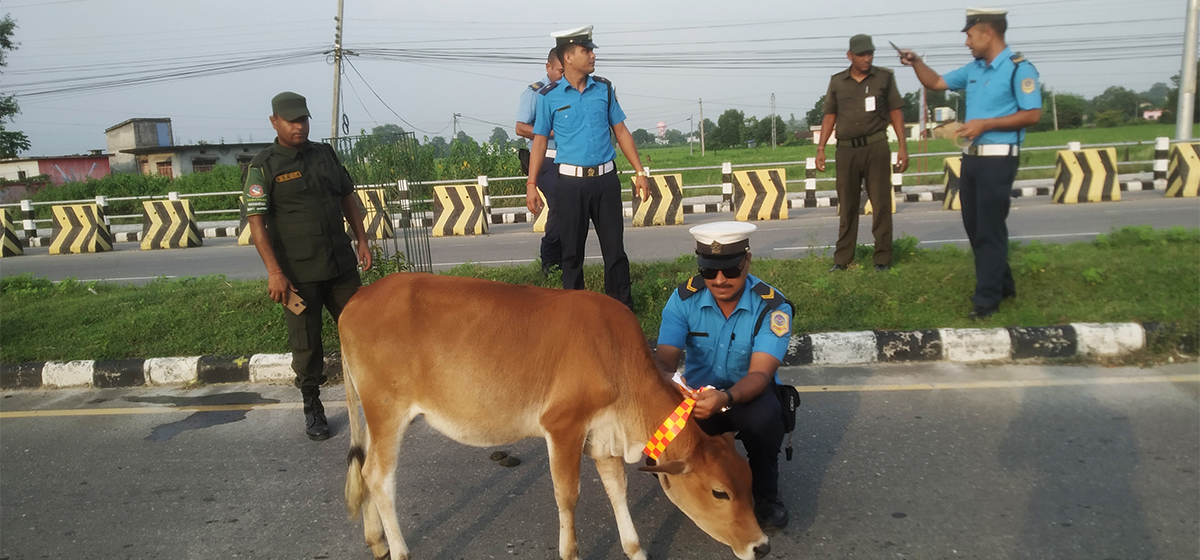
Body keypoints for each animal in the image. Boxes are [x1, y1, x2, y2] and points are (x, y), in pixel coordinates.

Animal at [340, 274, 768, 558]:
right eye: (719, 492)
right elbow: (568, 495)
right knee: (378, 477)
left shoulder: (604, 436)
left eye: (748, 480)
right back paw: (398, 550)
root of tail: (358, 298)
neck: (617, 358)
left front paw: (635, 549)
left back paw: (376, 540)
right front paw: (571, 551)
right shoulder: (564, 426)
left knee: (364, 468)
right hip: (387, 411)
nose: (761, 546)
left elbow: (618, 490)